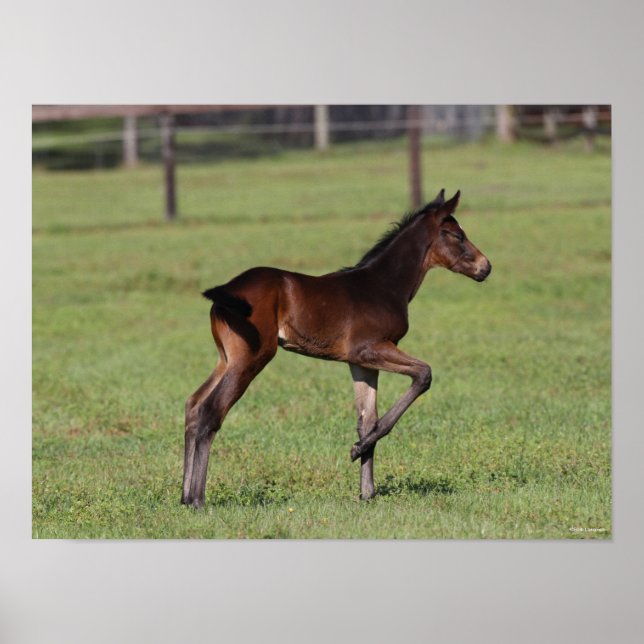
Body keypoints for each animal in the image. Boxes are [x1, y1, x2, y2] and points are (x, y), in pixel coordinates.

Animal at [181, 189, 491, 509]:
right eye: (458, 235)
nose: (486, 267)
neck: (384, 285)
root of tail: (225, 292)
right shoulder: (370, 349)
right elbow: (423, 376)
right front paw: (356, 451)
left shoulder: (361, 363)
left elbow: (367, 420)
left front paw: (367, 492)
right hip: (251, 357)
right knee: (211, 411)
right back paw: (197, 499)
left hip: (226, 359)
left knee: (193, 405)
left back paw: (184, 496)